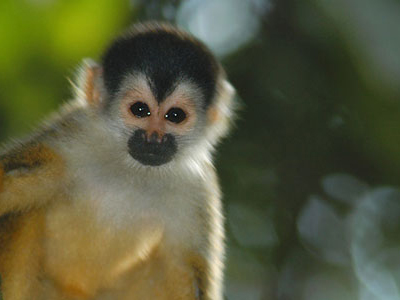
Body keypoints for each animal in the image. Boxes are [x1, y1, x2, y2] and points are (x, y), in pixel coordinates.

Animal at [0, 22, 234, 298]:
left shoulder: (197, 187)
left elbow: (187, 266)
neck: (132, 170)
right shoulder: (70, 138)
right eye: (140, 110)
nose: (153, 138)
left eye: (175, 115)